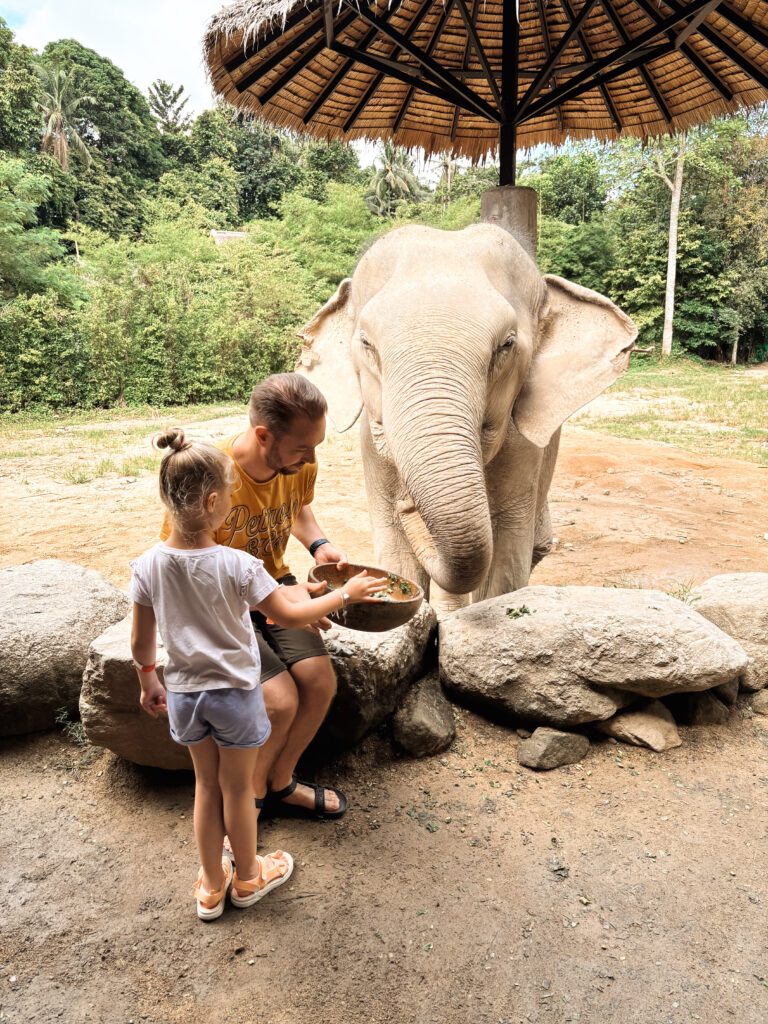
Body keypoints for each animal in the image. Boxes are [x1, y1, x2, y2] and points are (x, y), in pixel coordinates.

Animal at [296, 223, 637, 610]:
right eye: (367, 344)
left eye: (506, 345)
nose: (409, 505)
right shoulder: (372, 447)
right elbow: (396, 552)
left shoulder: (523, 452)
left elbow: (505, 558)